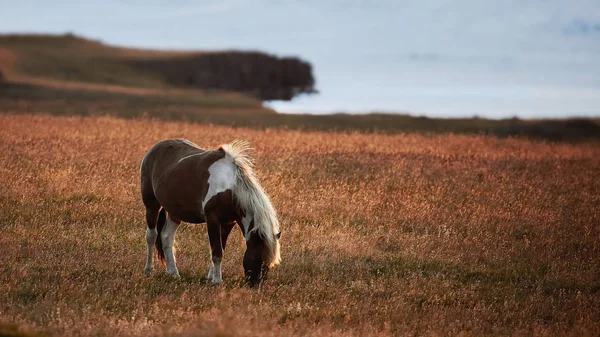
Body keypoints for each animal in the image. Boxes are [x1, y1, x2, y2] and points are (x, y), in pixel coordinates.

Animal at [140, 138, 282, 286]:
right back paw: (148, 270)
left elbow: (220, 248)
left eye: (269, 264)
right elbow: (217, 251)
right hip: (152, 205)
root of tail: (155, 148)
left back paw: (173, 273)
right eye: (256, 258)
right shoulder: (212, 220)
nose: (256, 285)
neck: (230, 189)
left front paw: (210, 277)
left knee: (166, 237)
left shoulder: (228, 223)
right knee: (151, 236)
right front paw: (217, 281)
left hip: (175, 213)